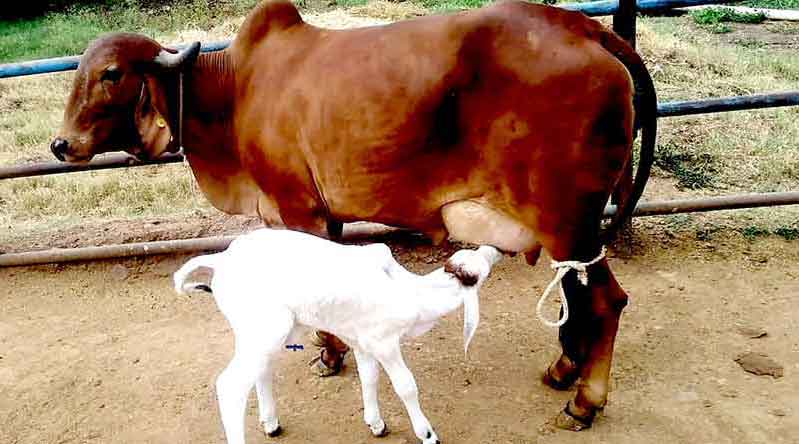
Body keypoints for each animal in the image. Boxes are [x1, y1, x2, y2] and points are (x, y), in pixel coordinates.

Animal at [175, 229, 504, 444]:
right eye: (475, 276)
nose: (496, 250)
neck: (412, 293)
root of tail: (221, 260)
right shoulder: (385, 343)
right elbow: (406, 387)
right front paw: (427, 434)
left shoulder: (363, 343)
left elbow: (369, 379)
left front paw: (376, 424)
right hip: (266, 331)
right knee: (230, 385)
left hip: (262, 334)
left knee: (260, 372)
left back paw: (271, 423)